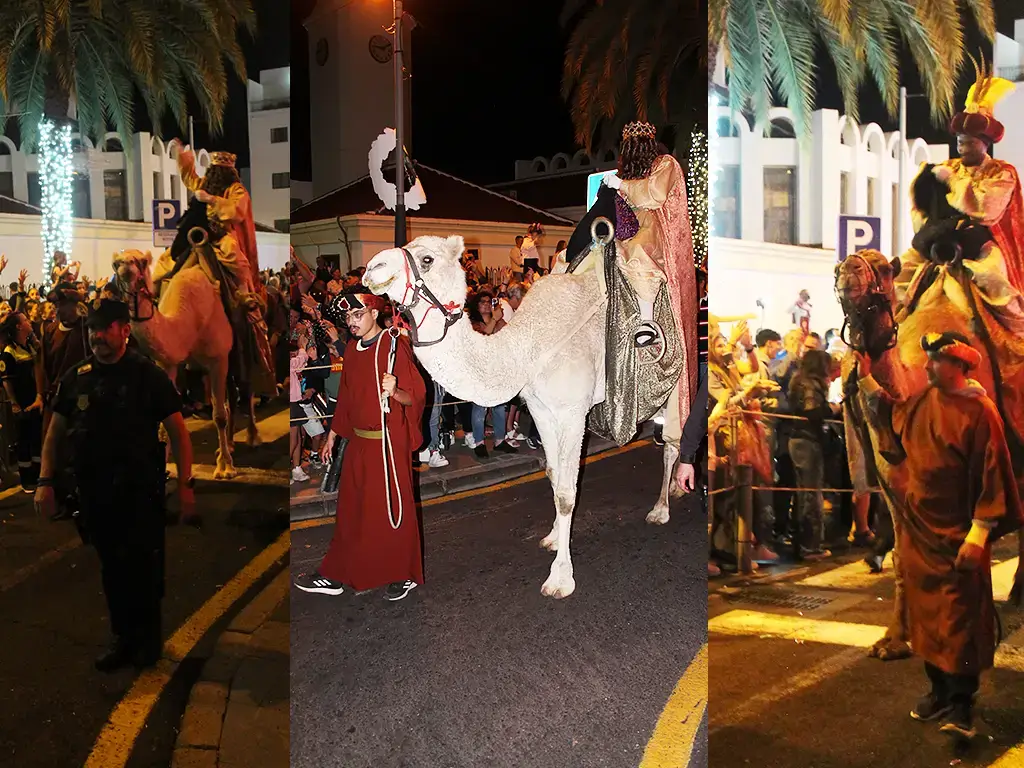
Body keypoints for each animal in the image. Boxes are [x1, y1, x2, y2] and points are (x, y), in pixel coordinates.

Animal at [111, 234, 262, 481]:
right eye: (116, 263)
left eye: (141, 262)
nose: (126, 269)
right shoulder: (168, 363)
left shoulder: (218, 359)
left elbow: (219, 415)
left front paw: (224, 468)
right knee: (232, 393)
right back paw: (229, 443)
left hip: (244, 344)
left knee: (246, 387)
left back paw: (252, 437)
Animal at [360, 231, 688, 598]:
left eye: (427, 259)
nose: (372, 268)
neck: (526, 349)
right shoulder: (541, 409)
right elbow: (553, 475)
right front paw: (553, 537)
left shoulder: (573, 412)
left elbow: (567, 493)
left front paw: (560, 577)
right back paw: (677, 488)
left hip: (675, 373)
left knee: (672, 441)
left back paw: (661, 508)